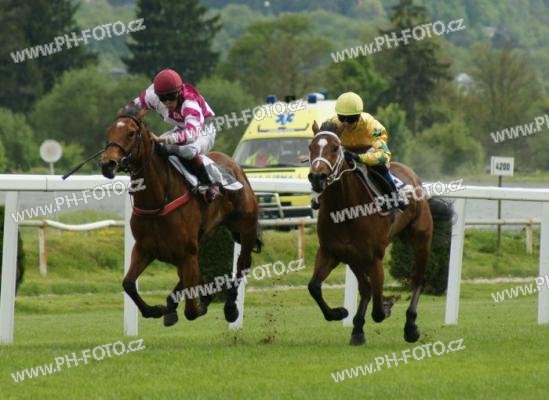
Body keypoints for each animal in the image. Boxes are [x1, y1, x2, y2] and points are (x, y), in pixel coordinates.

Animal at [100, 104, 261, 326]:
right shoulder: (145, 248)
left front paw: (201, 302)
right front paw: (156, 309)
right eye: (109, 131)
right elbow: (129, 283)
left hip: (245, 228)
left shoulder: (186, 251)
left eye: (131, 133)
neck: (157, 202)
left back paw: (230, 308)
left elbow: (192, 310)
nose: (107, 164)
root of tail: (234, 164)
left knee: (242, 264)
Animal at [307, 120, 452, 345]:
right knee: (365, 288)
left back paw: (411, 327)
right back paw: (357, 329)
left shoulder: (375, 256)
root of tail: (415, 177)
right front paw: (340, 313)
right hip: (355, 257)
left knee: (418, 279)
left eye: (335, 148)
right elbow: (314, 287)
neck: (344, 209)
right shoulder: (331, 252)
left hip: (420, 239)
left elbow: (378, 309)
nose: (316, 177)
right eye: (310, 147)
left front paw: (387, 305)